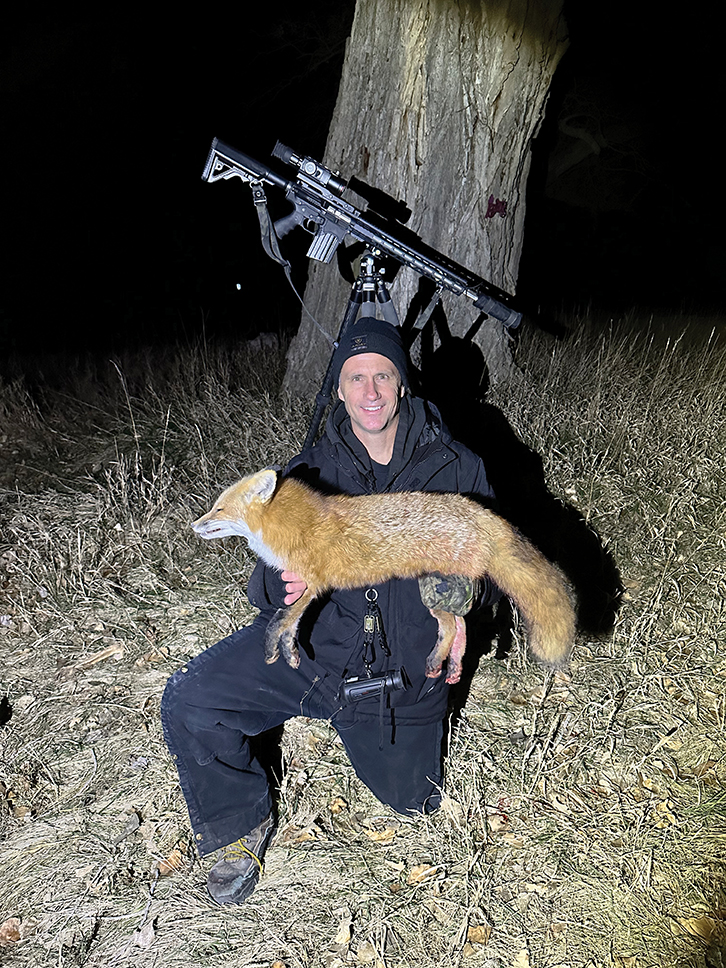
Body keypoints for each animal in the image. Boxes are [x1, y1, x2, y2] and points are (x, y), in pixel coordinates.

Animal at [192, 468, 576, 684]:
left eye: (219, 509)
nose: (193, 526)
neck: (290, 527)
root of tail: (481, 511)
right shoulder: (303, 589)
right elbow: (291, 626)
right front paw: (291, 656)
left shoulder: (312, 585)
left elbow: (278, 622)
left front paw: (272, 650)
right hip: (437, 592)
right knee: (459, 628)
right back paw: (447, 667)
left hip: (439, 589)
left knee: (456, 628)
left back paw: (439, 663)